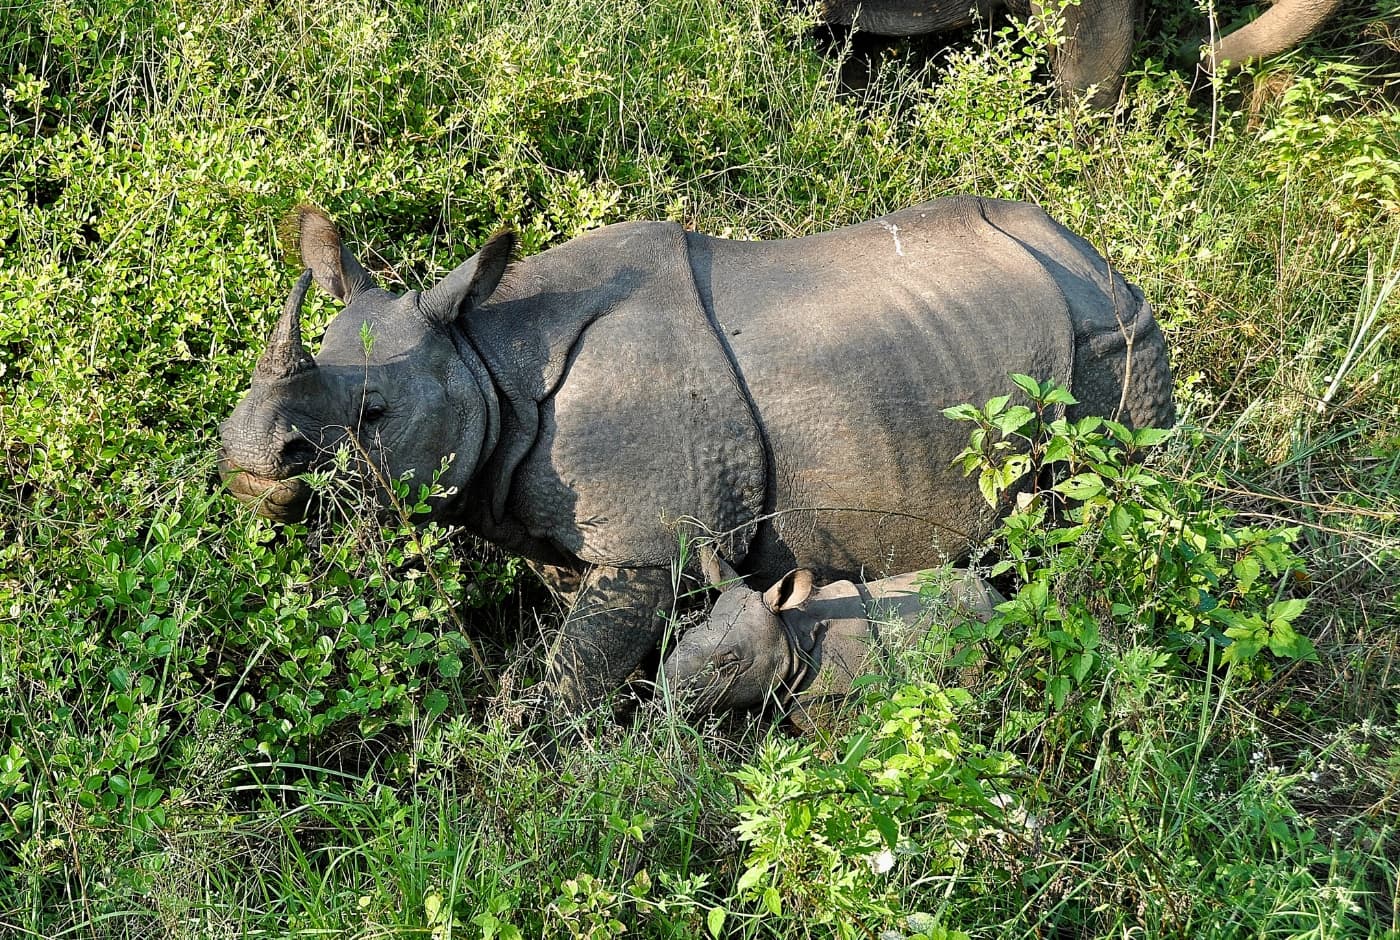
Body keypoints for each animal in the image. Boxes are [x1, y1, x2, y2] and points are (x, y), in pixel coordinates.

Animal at [218, 200, 1176, 714]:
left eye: (374, 414)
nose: (247, 459)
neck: (487, 357)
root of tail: (1086, 248)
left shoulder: (650, 540)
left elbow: (575, 672)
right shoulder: (571, 530)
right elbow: (585, 642)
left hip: (1108, 337)